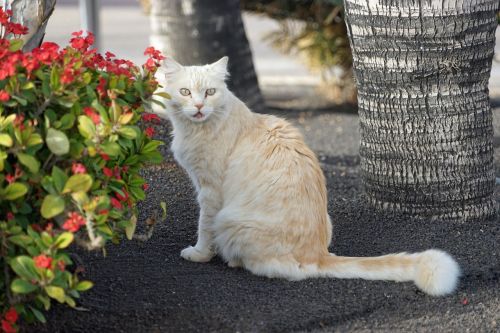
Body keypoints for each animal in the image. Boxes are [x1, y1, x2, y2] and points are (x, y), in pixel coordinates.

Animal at [154, 56, 458, 296]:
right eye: (185, 92)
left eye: (210, 92)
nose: (198, 107)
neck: (200, 128)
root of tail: (318, 254)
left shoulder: (209, 191)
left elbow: (203, 228)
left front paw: (199, 254)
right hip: (325, 219)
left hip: (229, 221)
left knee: (269, 267)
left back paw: (234, 260)